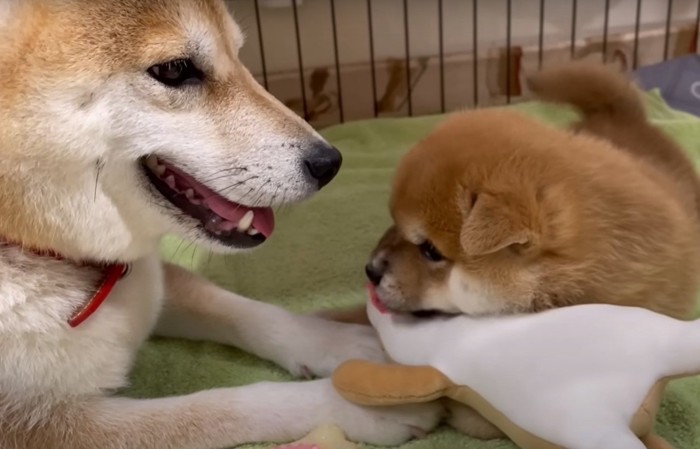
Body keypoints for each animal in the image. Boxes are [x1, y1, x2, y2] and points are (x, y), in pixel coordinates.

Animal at [0, 1, 440, 446]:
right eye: (175, 69)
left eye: (239, 54)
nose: (329, 163)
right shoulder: (45, 427)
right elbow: (218, 407)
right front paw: (360, 403)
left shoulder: (158, 283)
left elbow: (248, 312)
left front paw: (342, 343)